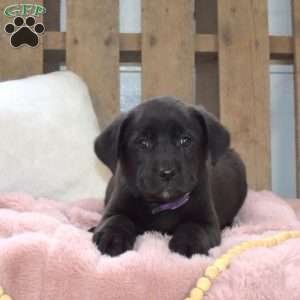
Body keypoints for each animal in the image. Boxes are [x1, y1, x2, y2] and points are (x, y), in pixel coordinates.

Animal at [91, 96, 246, 258]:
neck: (162, 205)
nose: (167, 173)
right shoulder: (114, 208)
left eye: (185, 140)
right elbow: (117, 219)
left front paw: (188, 244)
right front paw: (112, 239)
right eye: (143, 142)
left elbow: (193, 227)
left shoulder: (206, 222)